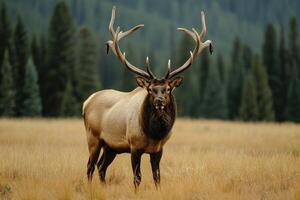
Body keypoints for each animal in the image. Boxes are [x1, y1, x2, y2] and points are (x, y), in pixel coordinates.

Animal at [82, 6, 212, 191]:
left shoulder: (158, 149)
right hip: (93, 137)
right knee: (90, 167)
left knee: (101, 167)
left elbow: (157, 177)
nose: (159, 101)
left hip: (111, 147)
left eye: (168, 89)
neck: (154, 134)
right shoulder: (134, 146)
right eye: (150, 89)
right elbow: (137, 178)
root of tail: (87, 102)